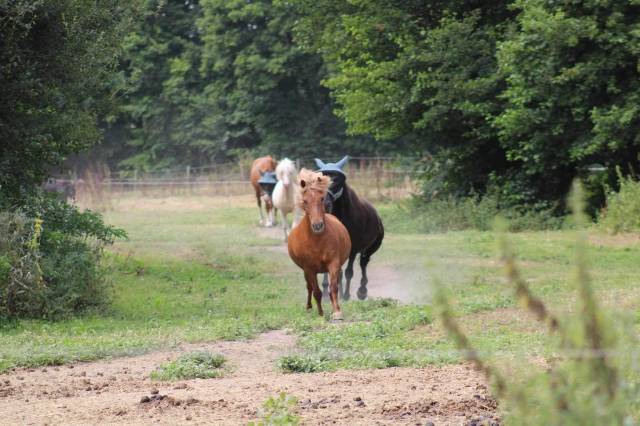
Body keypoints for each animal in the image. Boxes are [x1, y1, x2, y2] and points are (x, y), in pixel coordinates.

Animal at [288, 168, 352, 318]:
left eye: (321, 198)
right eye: (305, 201)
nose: (318, 226)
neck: (317, 241)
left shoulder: (333, 263)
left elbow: (333, 287)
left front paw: (337, 312)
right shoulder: (309, 268)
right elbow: (316, 291)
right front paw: (321, 312)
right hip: (307, 271)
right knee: (309, 287)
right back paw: (309, 307)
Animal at [316, 156, 384, 300]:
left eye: (336, 180)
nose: (324, 203)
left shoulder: (353, 248)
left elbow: (349, 272)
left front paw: (346, 295)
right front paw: (326, 294)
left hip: (372, 247)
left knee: (364, 262)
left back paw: (362, 291)